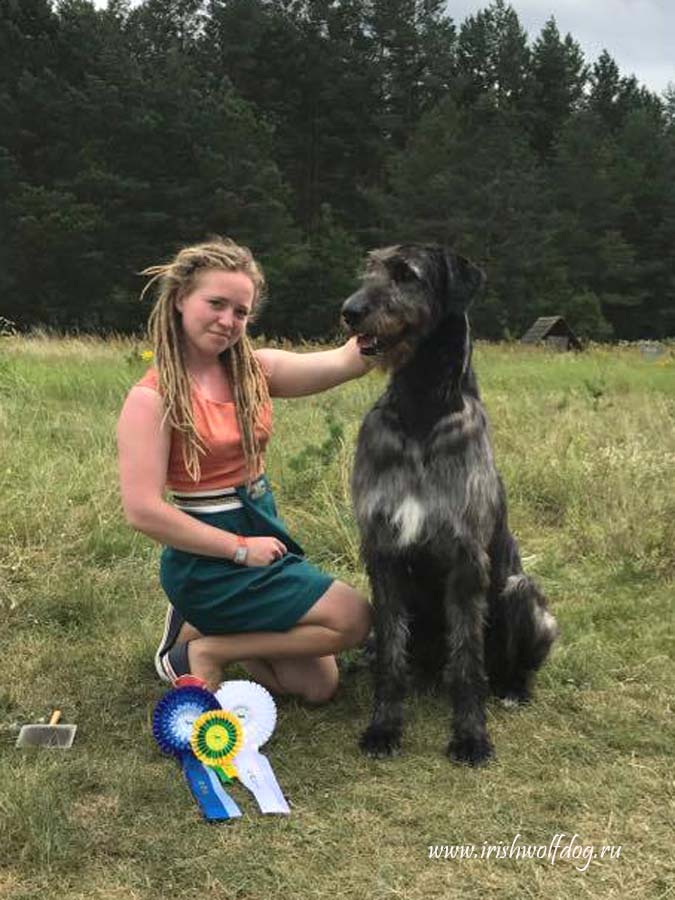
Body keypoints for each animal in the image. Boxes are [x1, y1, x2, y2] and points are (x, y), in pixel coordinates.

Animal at [344, 243, 560, 764]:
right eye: (369, 269)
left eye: (407, 274)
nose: (349, 312)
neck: (421, 409)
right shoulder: (382, 552)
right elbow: (392, 657)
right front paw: (384, 727)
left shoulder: (465, 557)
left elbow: (467, 661)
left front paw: (470, 736)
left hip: (524, 595)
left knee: (503, 661)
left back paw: (514, 688)